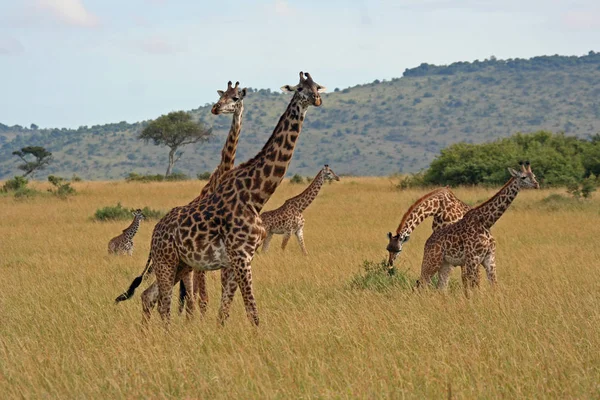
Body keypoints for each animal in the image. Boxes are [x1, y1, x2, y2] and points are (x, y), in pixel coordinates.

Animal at [115, 72, 326, 328]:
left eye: (317, 87)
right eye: (299, 88)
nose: (316, 100)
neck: (255, 195)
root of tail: (155, 231)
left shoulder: (237, 260)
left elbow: (224, 310)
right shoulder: (241, 257)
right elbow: (251, 312)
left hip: (181, 264)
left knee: (149, 296)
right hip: (167, 261)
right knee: (164, 304)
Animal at [418, 160, 540, 294]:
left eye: (534, 175)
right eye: (523, 177)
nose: (536, 184)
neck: (486, 222)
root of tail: (427, 242)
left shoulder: (489, 259)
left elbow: (494, 285)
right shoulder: (473, 259)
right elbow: (474, 287)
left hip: (445, 264)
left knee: (441, 287)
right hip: (431, 261)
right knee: (420, 284)